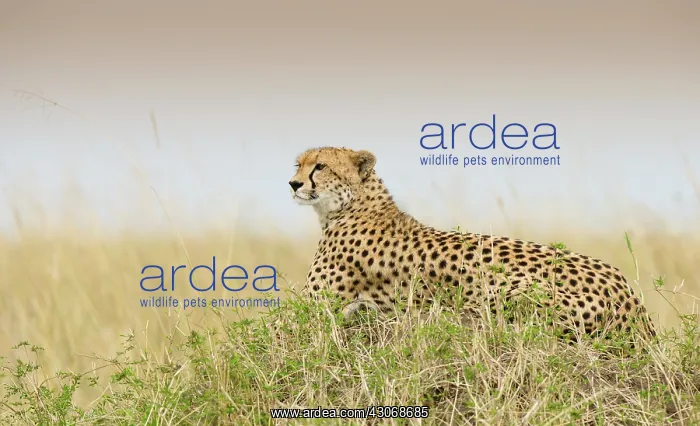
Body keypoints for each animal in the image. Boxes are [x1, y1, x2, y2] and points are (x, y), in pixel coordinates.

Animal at [288, 146, 656, 339]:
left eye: (320, 166)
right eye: (299, 164)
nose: (293, 183)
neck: (353, 205)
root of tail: (628, 295)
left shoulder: (314, 306)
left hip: (506, 291)